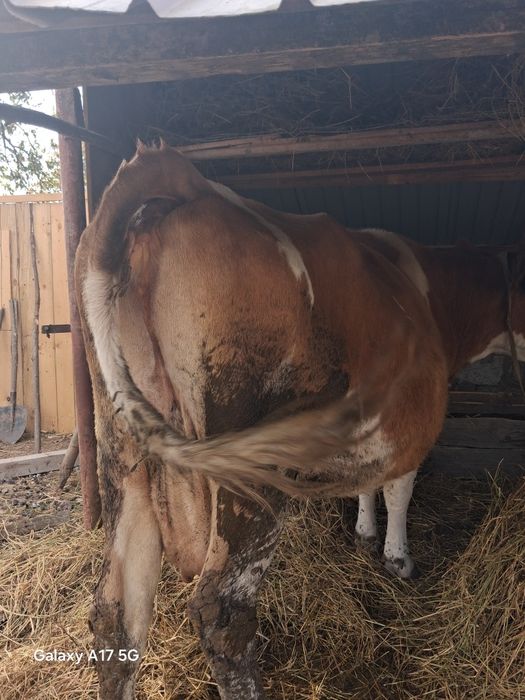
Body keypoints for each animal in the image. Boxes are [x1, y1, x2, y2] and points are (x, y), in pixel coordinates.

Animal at [75, 143, 525, 699]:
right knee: (223, 614)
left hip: (125, 455)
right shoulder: (409, 428)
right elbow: (399, 488)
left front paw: (364, 533)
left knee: (116, 611)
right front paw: (398, 558)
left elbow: (367, 485)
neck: (434, 297)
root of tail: (186, 182)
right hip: (249, 468)